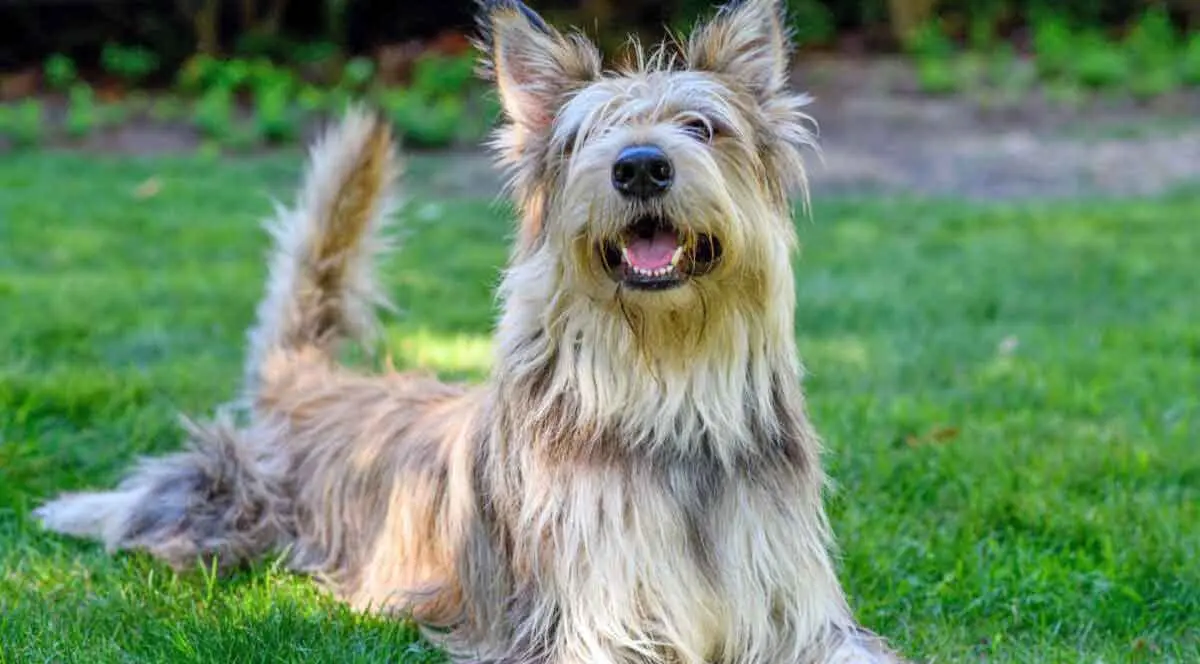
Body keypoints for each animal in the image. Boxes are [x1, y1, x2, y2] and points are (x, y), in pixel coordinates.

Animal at [35, 1, 902, 662]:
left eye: (703, 125)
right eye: (585, 137)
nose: (640, 166)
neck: (666, 389)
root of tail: (318, 383)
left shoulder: (799, 614)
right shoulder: (593, 621)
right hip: (226, 499)